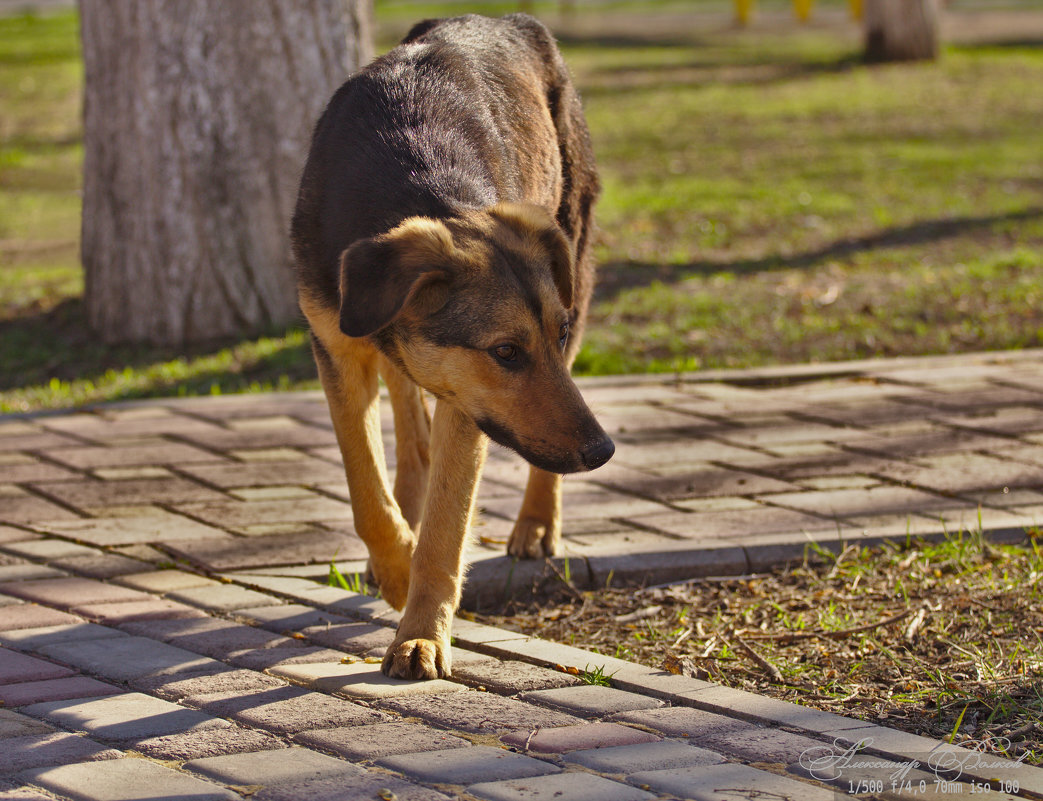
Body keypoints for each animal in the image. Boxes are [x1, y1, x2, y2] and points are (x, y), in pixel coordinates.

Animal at [287, 12, 609, 680]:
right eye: (505, 352)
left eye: (558, 335)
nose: (602, 451)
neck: (412, 180)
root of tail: (512, 19)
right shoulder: (337, 348)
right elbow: (367, 491)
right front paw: (394, 569)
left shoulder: (469, 401)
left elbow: (445, 527)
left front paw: (421, 635)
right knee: (409, 428)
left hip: (575, 249)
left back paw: (536, 524)